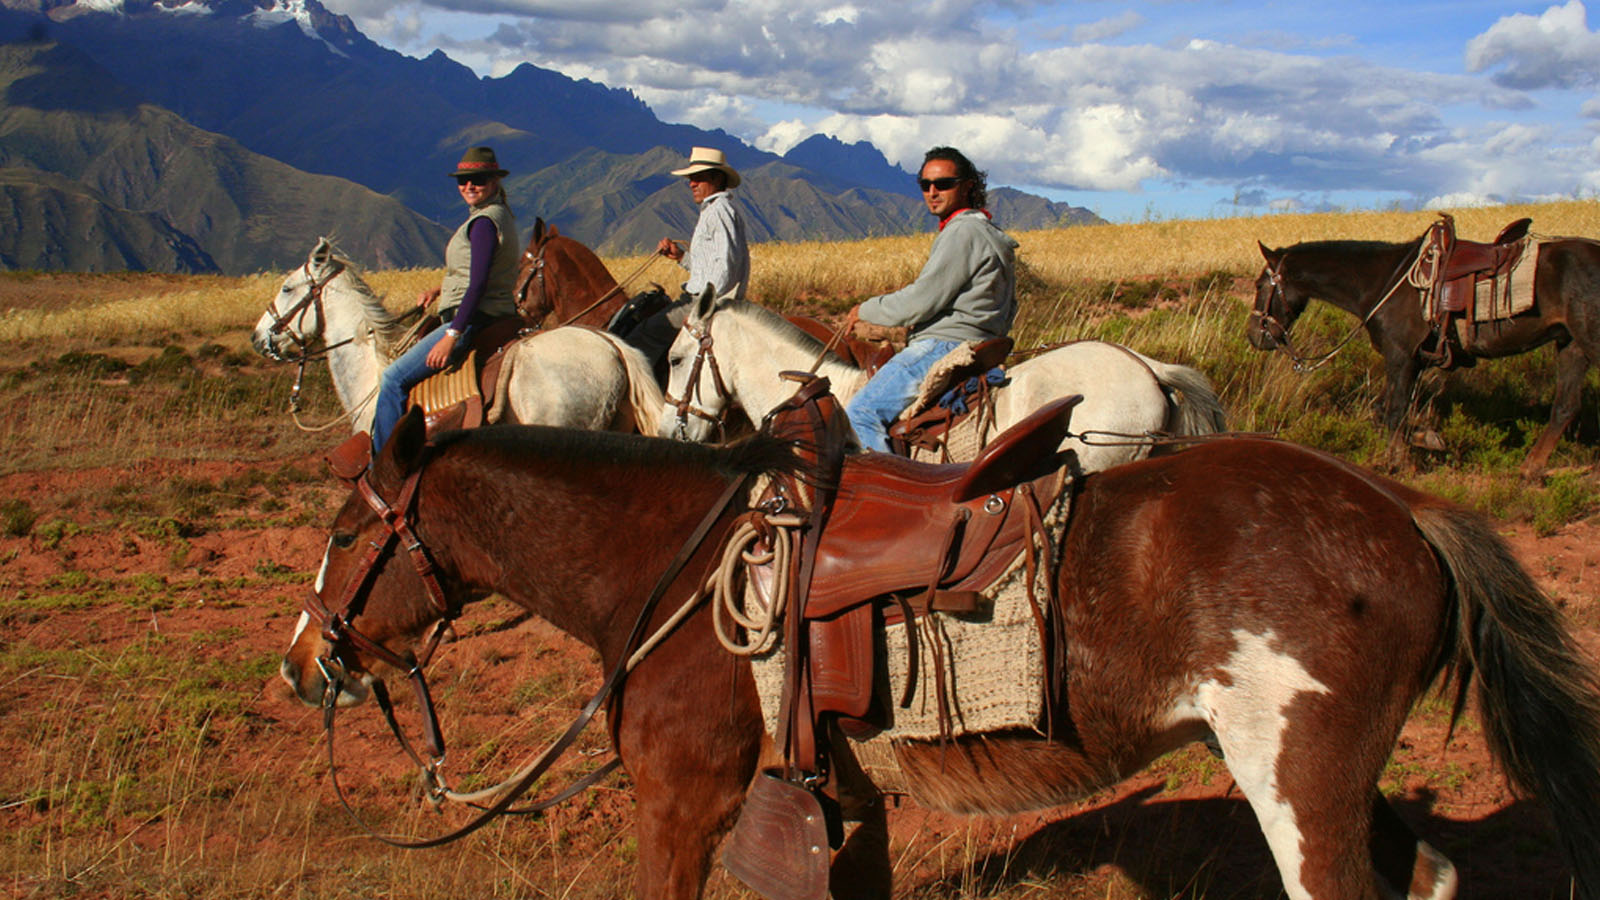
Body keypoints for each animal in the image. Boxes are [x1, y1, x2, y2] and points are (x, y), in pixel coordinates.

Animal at [278, 408, 1600, 896]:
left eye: (343, 531)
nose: (300, 665)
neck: (676, 567)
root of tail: (1400, 508)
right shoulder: (839, 793)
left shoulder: (682, 801)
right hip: (1334, 779)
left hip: (1298, 780)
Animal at [1248, 230, 1600, 477]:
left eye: (1259, 285)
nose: (1254, 335)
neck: (1380, 282)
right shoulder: (1413, 362)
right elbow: (1385, 411)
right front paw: (1423, 440)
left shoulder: (1400, 356)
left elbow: (1393, 411)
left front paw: (1403, 462)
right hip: (1570, 346)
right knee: (1565, 407)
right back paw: (1530, 469)